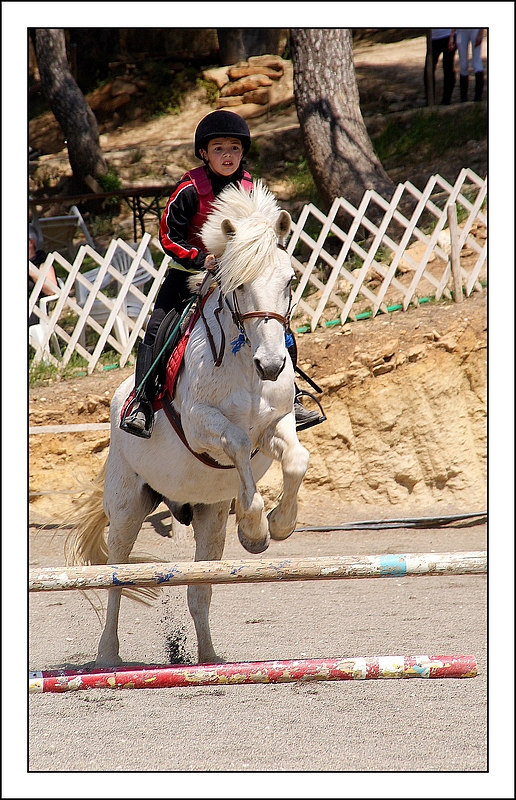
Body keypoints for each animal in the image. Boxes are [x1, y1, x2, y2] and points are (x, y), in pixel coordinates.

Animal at [68, 184, 310, 664]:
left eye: (290, 280)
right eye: (239, 285)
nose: (272, 364)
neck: (245, 362)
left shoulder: (277, 423)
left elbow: (296, 459)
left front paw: (277, 525)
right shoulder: (202, 426)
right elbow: (237, 442)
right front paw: (254, 524)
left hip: (207, 514)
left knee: (199, 589)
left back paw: (209, 659)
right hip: (127, 508)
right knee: (116, 575)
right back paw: (108, 655)